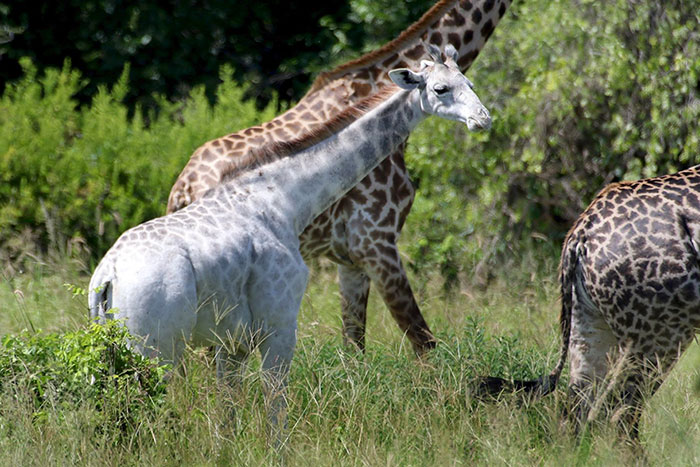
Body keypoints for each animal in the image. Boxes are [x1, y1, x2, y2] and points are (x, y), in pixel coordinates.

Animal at [89, 49, 491, 441]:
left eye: (469, 83)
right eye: (440, 89)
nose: (483, 119)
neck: (287, 199)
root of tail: (105, 276)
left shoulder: (232, 342)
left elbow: (226, 418)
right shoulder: (279, 324)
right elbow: (275, 411)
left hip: (113, 352)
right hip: (156, 349)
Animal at [166, 0, 511, 354]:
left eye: (471, 86)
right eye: (441, 89)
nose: (483, 119)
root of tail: (182, 189)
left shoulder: (349, 259)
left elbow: (354, 346)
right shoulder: (376, 242)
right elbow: (423, 342)